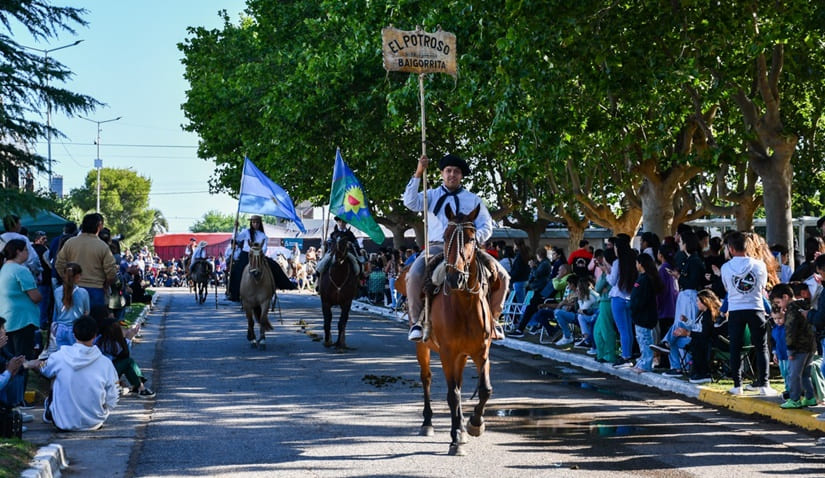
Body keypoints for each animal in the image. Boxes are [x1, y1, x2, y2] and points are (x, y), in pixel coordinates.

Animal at [416, 203, 498, 456]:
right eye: (444, 236)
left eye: (471, 238)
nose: (454, 278)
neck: (464, 303)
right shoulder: (447, 353)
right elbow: (452, 394)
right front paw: (455, 440)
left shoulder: (482, 351)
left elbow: (485, 389)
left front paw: (474, 424)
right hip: (423, 348)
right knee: (427, 379)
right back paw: (428, 423)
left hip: (462, 356)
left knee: (460, 385)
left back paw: (461, 426)